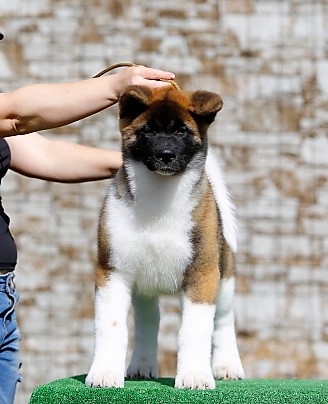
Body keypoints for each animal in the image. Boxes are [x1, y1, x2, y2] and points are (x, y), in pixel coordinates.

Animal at [86, 86, 245, 392]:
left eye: (182, 132)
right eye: (148, 131)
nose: (166, 155)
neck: (159, 194)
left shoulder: (202, 275)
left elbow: (194, 330)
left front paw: (195, 375)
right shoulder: (112, 272)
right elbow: (111, 327)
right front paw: (104, 373)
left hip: (224, 280)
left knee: (223, 320)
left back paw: (227, 365)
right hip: (144, 286)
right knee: (149, 321)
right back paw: (141, 365)